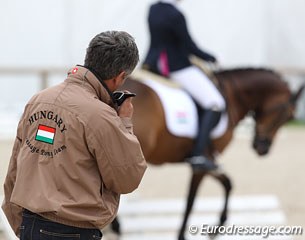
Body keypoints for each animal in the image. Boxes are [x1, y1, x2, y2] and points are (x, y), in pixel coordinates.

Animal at [110, 66, 302, 240]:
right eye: (287, 115)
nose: (262, 149)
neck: (232, 96)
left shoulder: (210, 162)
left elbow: (228, 184)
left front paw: (217, 228)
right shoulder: (202, 163)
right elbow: (191, 200)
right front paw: (183, 235)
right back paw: (116, 225)